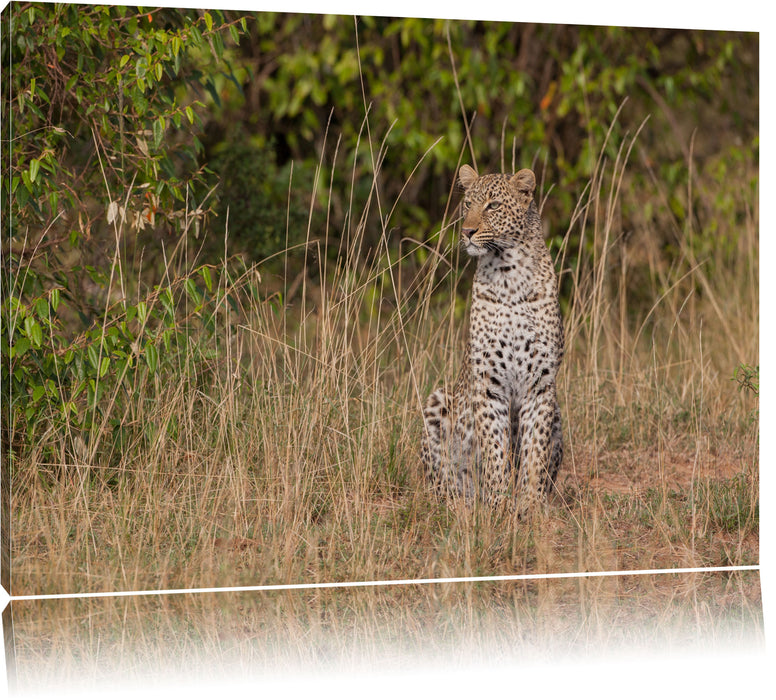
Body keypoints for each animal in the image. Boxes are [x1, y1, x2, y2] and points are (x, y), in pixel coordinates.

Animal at [421, 164, 564, 517]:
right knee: (441, 480)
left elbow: (534, 452)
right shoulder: (488, 384)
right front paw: (499, 505)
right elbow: (494, 449)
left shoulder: (540, 386)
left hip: (557, 410)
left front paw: (530, 506)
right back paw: (460, 504)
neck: (509, 274)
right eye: (468, 204)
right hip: (437, 401)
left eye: (493, 206)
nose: (468, 231)